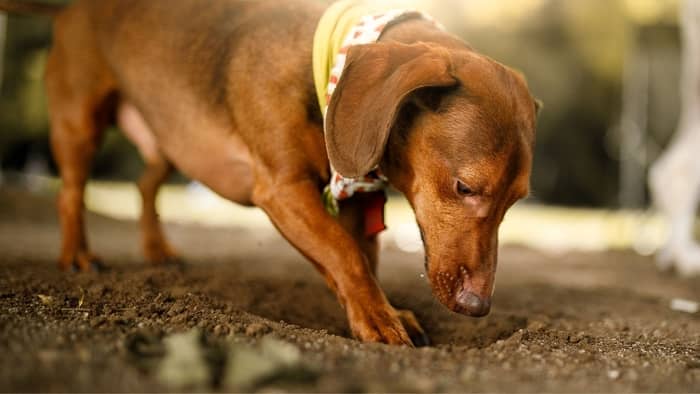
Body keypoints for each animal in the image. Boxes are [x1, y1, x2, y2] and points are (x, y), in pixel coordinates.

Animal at [1, 0, 536, 344]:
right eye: (465, 186)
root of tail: (70, 9)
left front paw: (376, 309)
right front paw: (379, 320)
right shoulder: (282, 189)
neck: (328, 64)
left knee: (145, 183)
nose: (478, 307)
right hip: (80, 122)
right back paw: (78, 256)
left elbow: (357, 259)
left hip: (174, 137)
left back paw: (157, 250)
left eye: (516, 201)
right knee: (71, 191)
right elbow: (345, 255)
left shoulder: (352, 200)